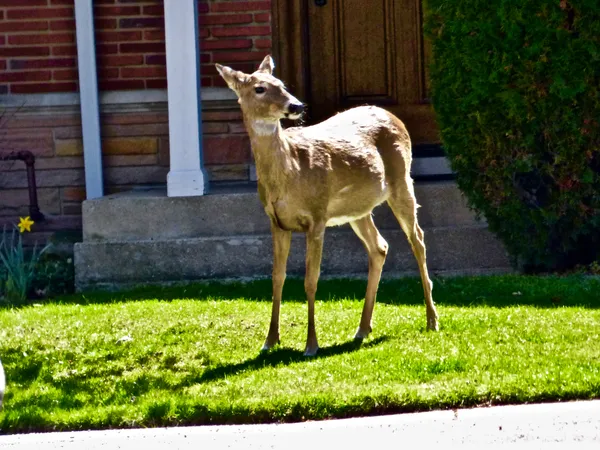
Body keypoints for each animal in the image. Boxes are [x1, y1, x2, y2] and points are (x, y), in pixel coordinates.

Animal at [217, 55, 440, 356]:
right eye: (259, 88)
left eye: (282, 83)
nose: (296, 106)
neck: (290, 171)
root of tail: (393, 116)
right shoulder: (276, 221)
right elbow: (277, 277)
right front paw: (270, 340)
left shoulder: (317, 215)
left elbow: (311, 280)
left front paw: (311, 344)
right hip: (358, 208)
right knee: (380, 246)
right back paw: (363, 328)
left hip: (402, 180)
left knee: (417, 238)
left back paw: (431, 320)